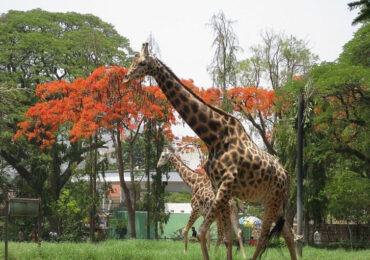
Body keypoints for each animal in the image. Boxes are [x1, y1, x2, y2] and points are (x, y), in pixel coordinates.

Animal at [124, 43, 298, 260]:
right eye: (133, 60)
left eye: (142, 63)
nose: (126, 76)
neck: (214, 136)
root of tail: (287, 175)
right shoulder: (218, 186)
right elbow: (225, 237)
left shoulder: (227, 183)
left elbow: (203, 233)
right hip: (272, 201)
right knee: (288, 233)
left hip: (273, 200)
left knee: (264, 237)